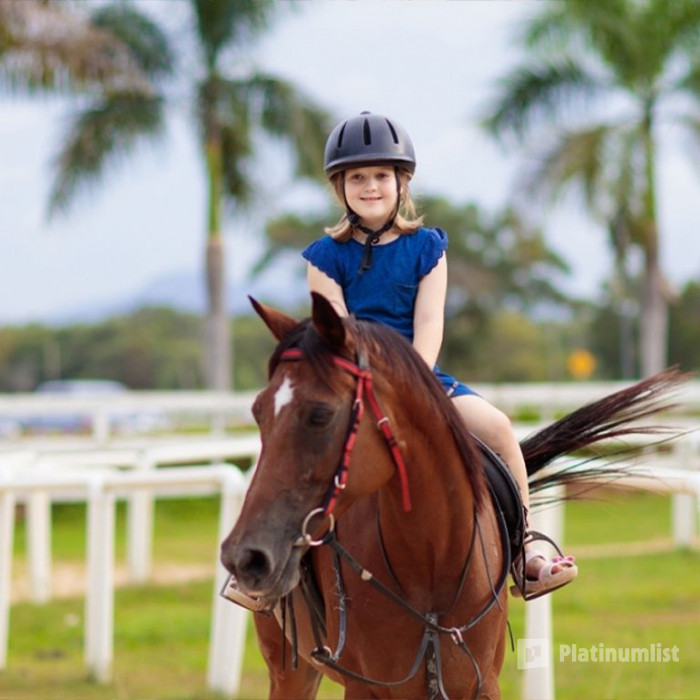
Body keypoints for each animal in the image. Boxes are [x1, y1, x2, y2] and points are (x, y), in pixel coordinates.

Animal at [220, 292, 683, 699]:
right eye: (258, 412)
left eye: (320, 414)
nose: (244, 555)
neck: (431, 556)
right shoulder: (368, 688)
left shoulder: (480, 684)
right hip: (288, 669)